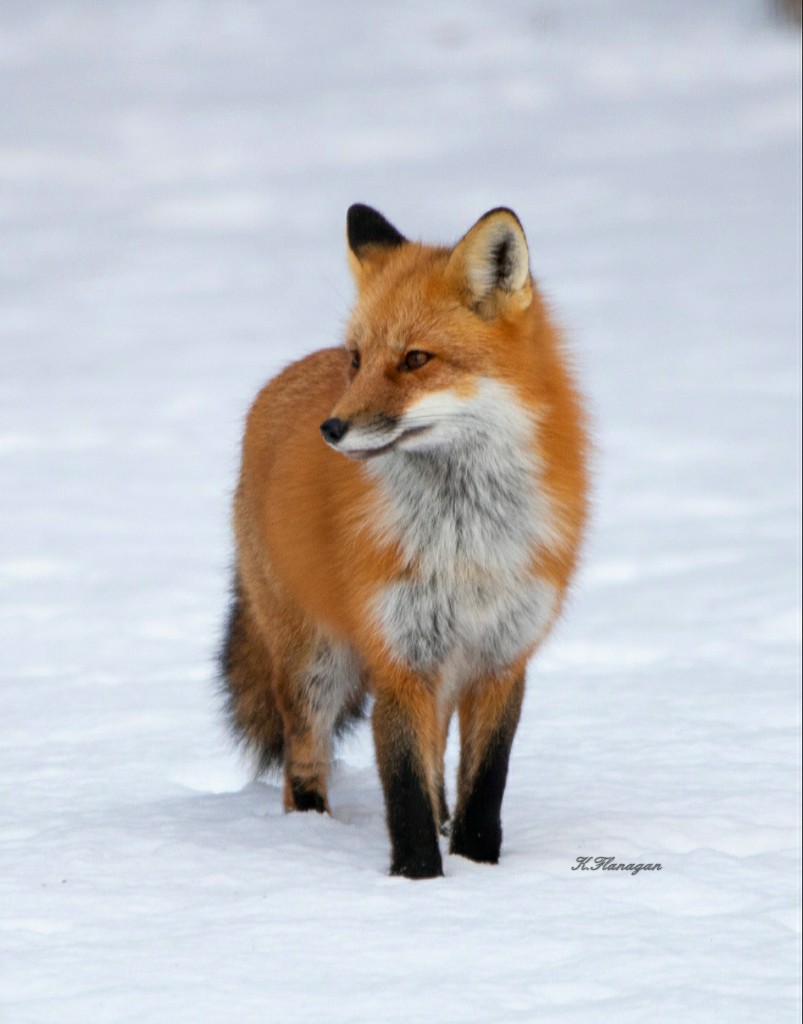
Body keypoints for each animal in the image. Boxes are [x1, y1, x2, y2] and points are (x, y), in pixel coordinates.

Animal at [221, 203, 589, 879]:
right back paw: (308, 832)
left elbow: (484, 781)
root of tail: (284, 378)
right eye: (358, 358)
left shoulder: (501, 656)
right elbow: (404, 787)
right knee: (302, 760)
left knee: (437, 755)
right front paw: (418, 880)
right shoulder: (398, 653)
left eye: (416, 359)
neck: (464, 539)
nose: (332, 429)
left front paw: (476, 864)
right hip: (316, 663)